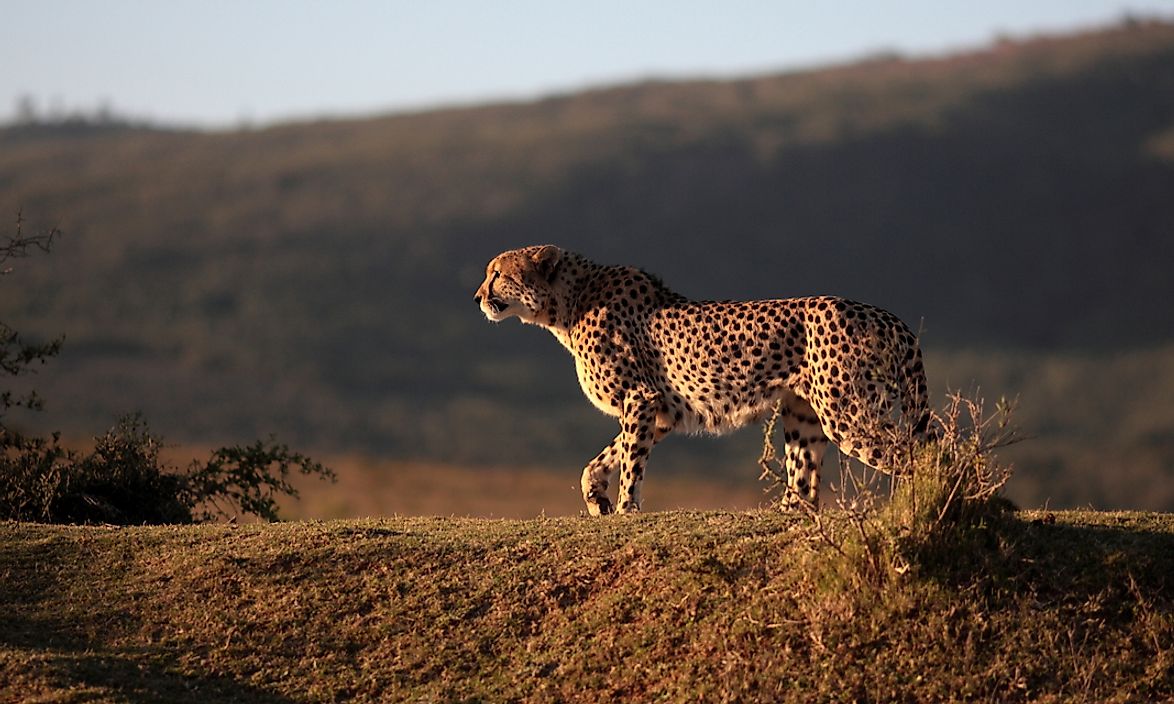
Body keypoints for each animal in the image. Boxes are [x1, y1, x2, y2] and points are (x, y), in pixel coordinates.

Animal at [471, 245, 929, 513]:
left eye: (497, 274)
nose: (477, 298)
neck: (569, 303)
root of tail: (884, 314)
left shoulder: (641, 398)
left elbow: (631, 462)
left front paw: (625, 510)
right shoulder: (659, 412)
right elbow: (604, 458)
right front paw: (597, 498)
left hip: (846, 414)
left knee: (919, 452)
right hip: (805, 414)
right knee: (806, 479)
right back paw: (788, 513)